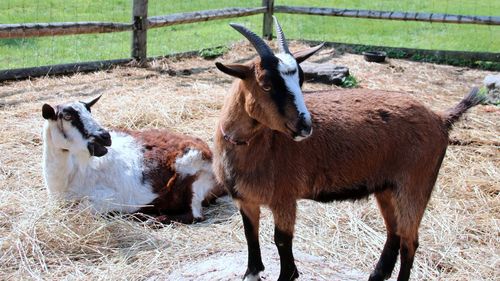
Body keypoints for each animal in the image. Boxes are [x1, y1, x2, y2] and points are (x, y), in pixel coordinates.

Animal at [43, 96, 223, 223]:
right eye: (67, 116)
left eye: (90, 111)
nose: (105, 136)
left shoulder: (110, 197)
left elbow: (82, 208)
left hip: (194, 177)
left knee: (194, 215)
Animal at [212, 17, 484, 280]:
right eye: (266, 84)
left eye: (301, 79)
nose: (305, 126)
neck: (258, 144)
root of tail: (440, 118)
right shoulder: (245, 200)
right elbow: (250, 233)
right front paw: (252, 271)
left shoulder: (284, 197)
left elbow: (282, 241)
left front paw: (287, 275)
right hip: (387, 187)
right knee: (394, 230)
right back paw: (377, 274)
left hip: (415, 185)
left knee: (410, 240)